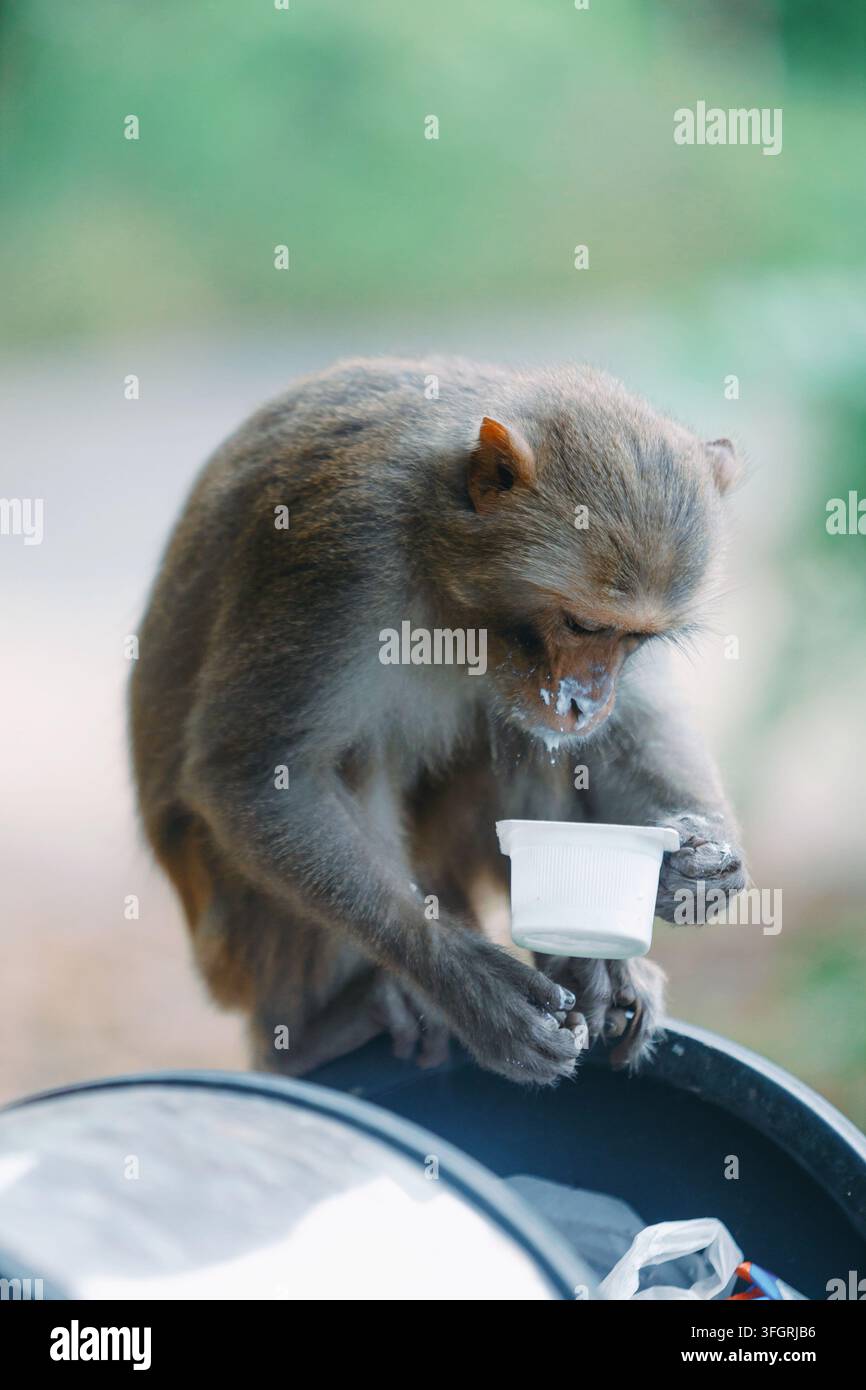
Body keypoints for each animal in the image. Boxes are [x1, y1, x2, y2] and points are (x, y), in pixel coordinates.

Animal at [129, 356, 746, 1086]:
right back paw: (318, 1031)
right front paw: (466, 983)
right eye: (582, 624)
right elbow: (252, 774)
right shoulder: (341, 554)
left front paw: (694, 860)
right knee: (356, 758)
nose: (586, 700)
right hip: (234, 944)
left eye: (635, 640)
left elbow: (635, 722)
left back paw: (583, 965)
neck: (447, 576)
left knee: (522, 738)